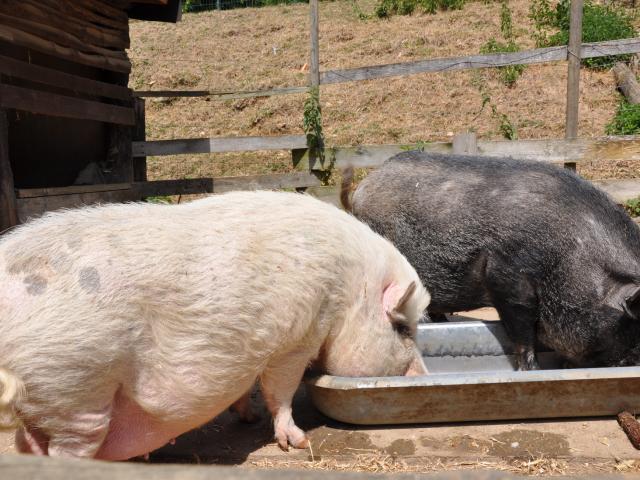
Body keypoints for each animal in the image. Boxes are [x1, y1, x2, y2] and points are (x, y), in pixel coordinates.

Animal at [1, 191, 430, 462]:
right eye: (403, 329)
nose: (422, 375)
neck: (349, 290)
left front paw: (247, 416)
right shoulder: (296, 339)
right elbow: (281, 391)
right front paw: (295, 442)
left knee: (29, 444)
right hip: (73, 386)